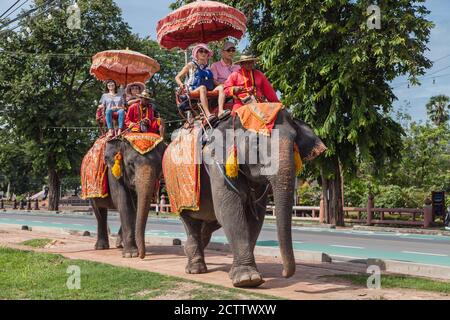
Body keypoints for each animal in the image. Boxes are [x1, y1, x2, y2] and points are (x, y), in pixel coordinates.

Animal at [169, 110, 326, 288]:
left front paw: (240, 275)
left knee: (210, 223)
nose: (284, 274)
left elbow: (254, 217)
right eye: (256, 143)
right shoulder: (217, 164)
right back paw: (195, 269)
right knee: (190, 221)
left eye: (294, 143)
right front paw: (248, 279)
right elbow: (230, 211)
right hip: (177, 193)